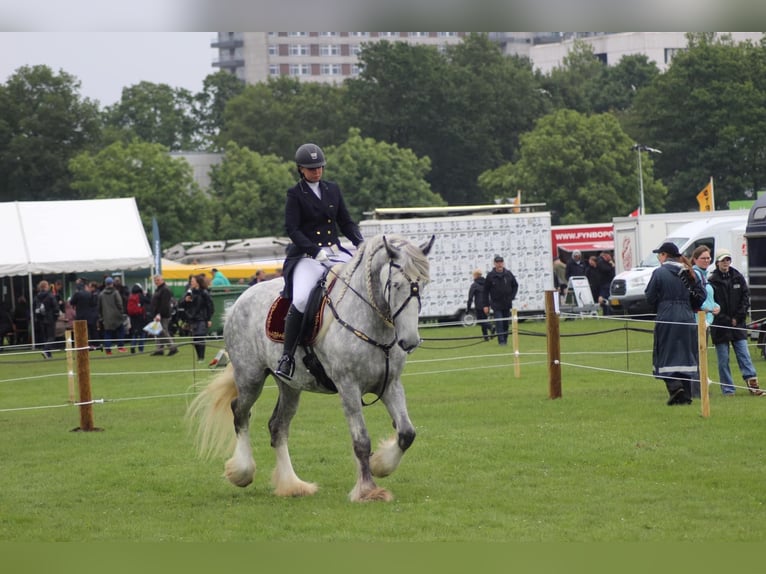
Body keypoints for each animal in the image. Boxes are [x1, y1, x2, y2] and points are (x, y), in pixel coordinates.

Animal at [187, 234, 436, 504]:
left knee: (277, 426)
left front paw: (381, 465)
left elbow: (407, 433)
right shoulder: (348, 386)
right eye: (397, 285)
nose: (410, 341)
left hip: (289, 386)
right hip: (250, 378)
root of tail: (237, 302)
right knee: (240, 412)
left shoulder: (390, 384)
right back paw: (243, 472)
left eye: (424, 284)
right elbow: (361, 441)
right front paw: (368, 490)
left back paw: (292, 485)